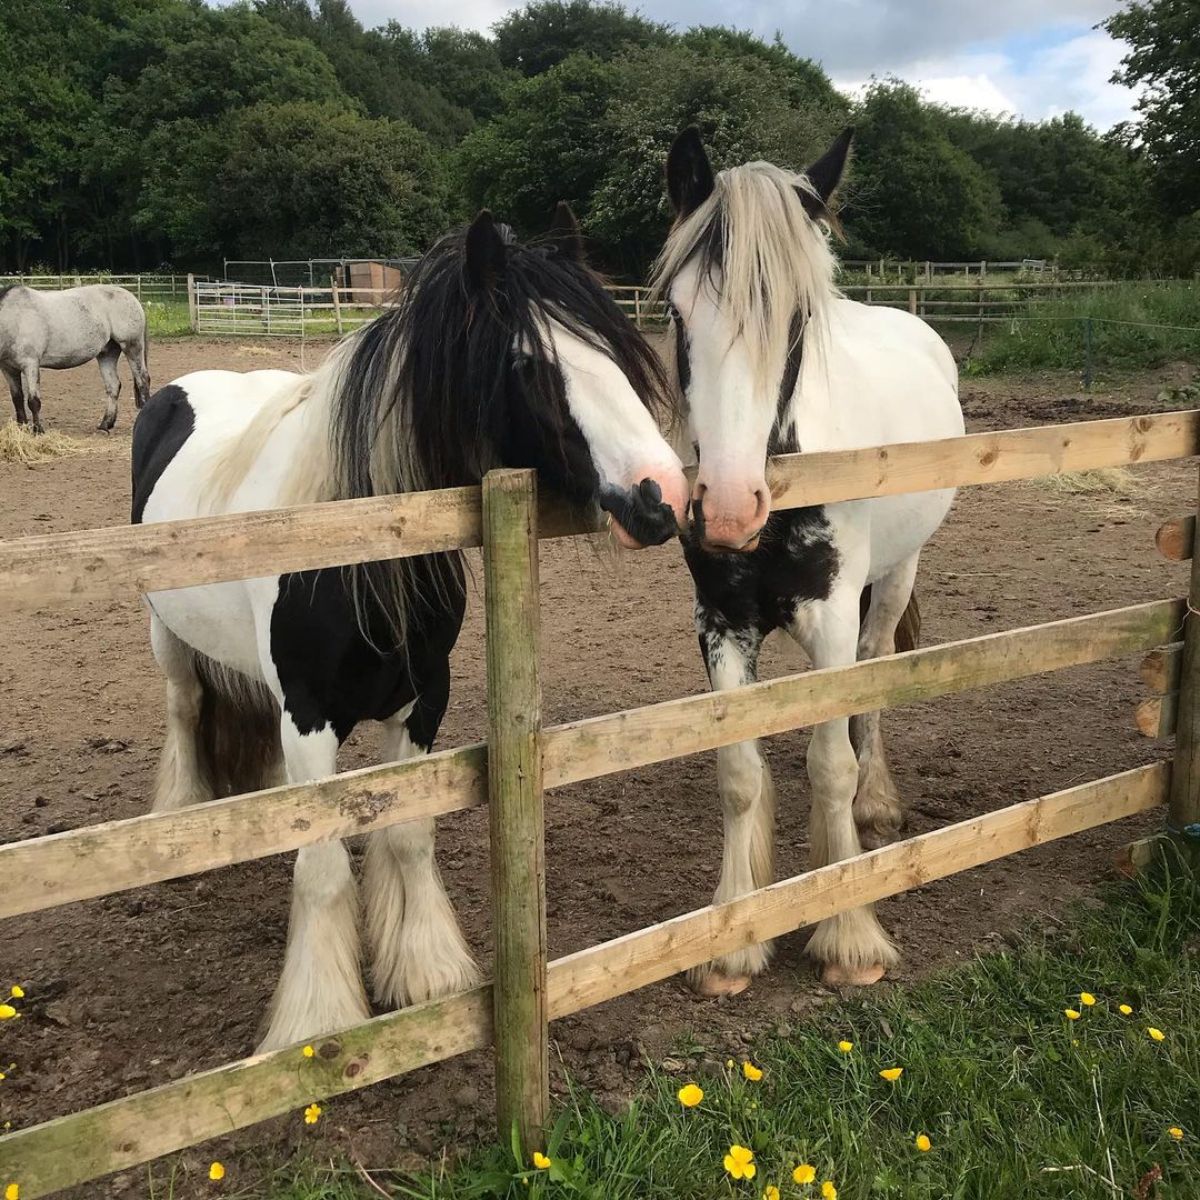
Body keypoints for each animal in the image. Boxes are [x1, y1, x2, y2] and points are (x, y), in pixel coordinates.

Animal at [0, 283, 151, 434]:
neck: (14, 318)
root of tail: (132, 298)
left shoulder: (30, 364)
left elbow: (33, 401)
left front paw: (38, 430)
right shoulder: (8, 369)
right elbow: (17, 398)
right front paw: (21, 428)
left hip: (132, 347)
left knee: (142, 381)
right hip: (107, 353)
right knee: (113, 385)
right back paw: (105, 425)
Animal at [131, 208, 686, 1051]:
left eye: (616, 353)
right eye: (528, 364)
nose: (664, 496)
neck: (360, 555)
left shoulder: (425, 701)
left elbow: (405, 835)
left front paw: (425, 975)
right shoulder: (309, 717)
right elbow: (323, 869)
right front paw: (320, 1019)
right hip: (170, 640)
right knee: (186, 710)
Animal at [657, 129, 964, 993]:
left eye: (795, 318)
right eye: (677, 311)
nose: (729, 507)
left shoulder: (829, 621)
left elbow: (831, 766)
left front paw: (848, 935)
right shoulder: (721, 626)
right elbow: (738, 774)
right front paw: (731, 942)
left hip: (894, 580)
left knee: (872, 684)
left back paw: (877, 802)